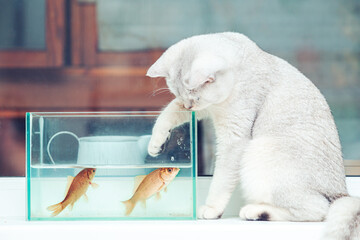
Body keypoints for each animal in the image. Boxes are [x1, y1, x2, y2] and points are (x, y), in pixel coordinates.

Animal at [146, 32, 360, 240]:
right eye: (180, 95)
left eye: (195, 97)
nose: (189, 105)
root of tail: (342, 192)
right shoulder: (207, 109)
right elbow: (169, 112)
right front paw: (155, 144)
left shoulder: (234, 137)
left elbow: (220, 180)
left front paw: (212, 209)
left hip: (258, 150)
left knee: (318, 209)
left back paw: (256, 212)